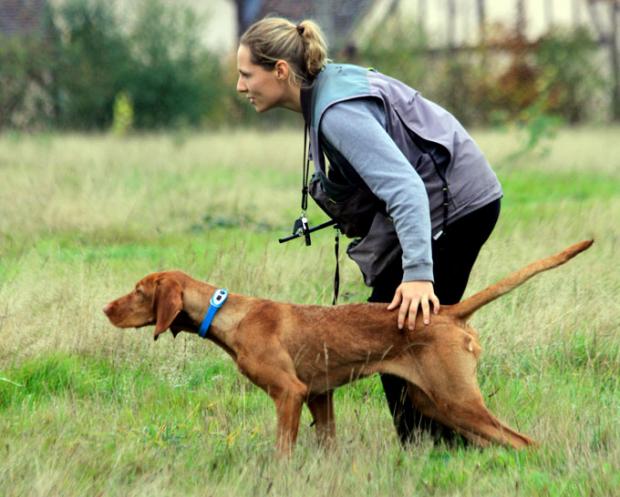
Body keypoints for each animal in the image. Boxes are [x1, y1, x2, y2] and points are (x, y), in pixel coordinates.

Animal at [104, 239, 592, 454]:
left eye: (138, 291)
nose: (105, 308)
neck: (228, 313)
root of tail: (449, 311)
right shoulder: (319, 396)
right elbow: (327, 445)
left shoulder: (290, 393)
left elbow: (282, 450)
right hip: (433, 401)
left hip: (456, 399)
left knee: (523, 441)